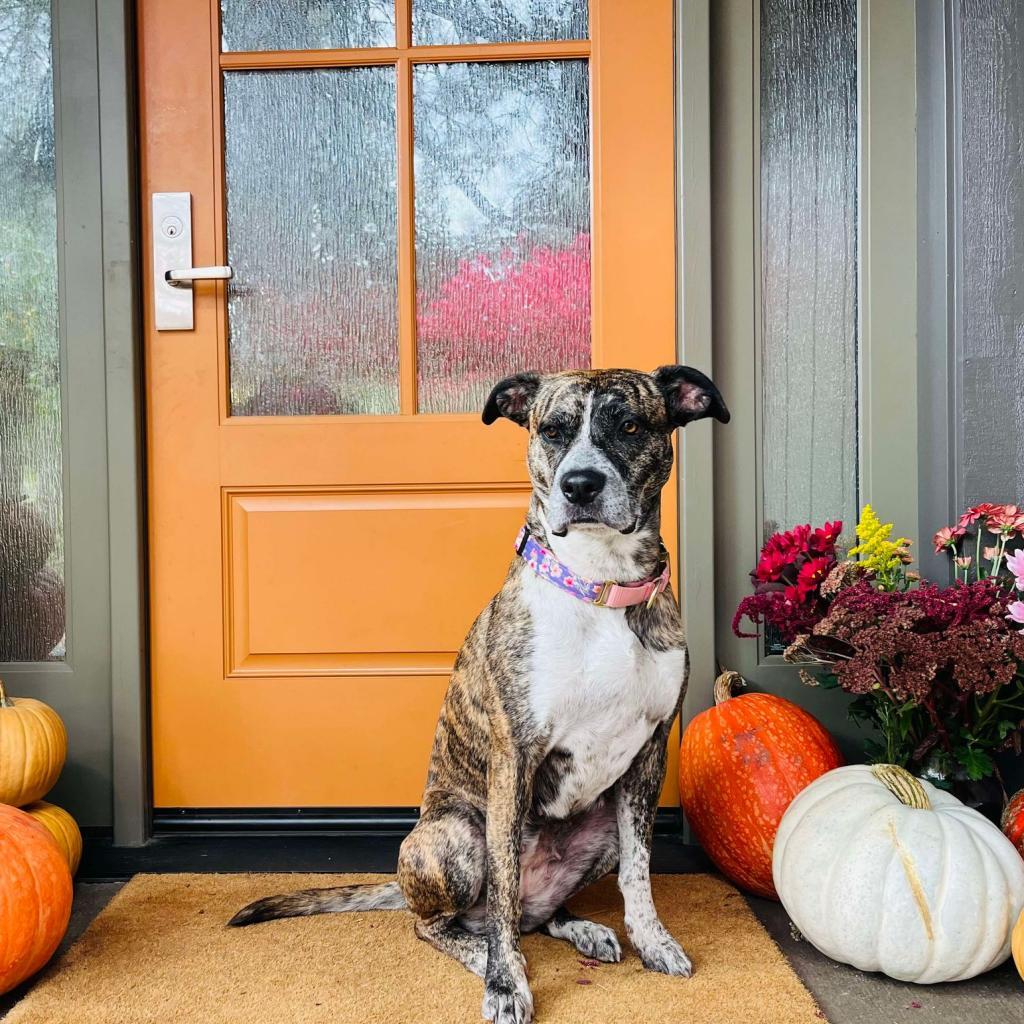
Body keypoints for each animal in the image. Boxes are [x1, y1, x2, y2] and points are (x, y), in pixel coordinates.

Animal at [230, 364, 729, 1019]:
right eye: (552, 429)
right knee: (452, 922)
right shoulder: (515, 756)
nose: (579, 485)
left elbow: (639, 874)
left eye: (629, 425)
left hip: (600, 833)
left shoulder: (648, 758)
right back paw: (484, 953)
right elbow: (502, 899)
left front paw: (653, 941)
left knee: (532, 914)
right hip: (455, 841)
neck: (599, 586)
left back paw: (581, 929)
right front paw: (506, 983)